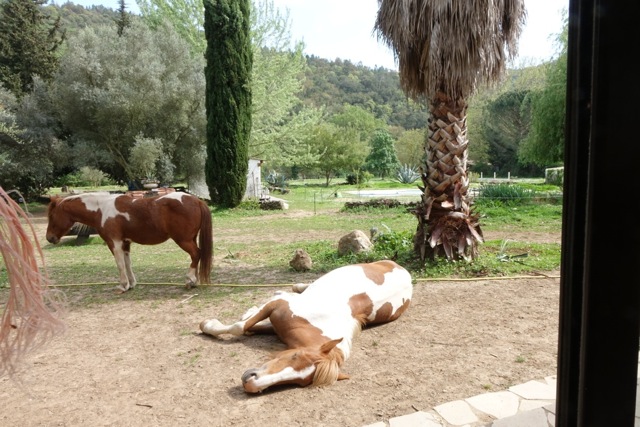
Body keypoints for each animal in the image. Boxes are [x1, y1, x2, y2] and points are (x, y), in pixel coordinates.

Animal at [46, 192, 215, 292]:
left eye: (52, 216)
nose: (49, 237)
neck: (102, 209)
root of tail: (196, 200)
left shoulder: (114, 243)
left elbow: (120, 264)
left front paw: (123, 285)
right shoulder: (125, 243)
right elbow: (127, 263)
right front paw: (132, 283)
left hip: (183, 240)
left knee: (196, 254)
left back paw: (189, 280)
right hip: (190, 239)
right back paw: (194, 281)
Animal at [200, 260, 412, 392]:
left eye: (300, 382)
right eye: (295, 355)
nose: (250, 384)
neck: (322, 320)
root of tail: (404, 271)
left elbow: (248, 328)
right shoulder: (277, 304)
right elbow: (241, 326)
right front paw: (207, 325)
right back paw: (295, 287)